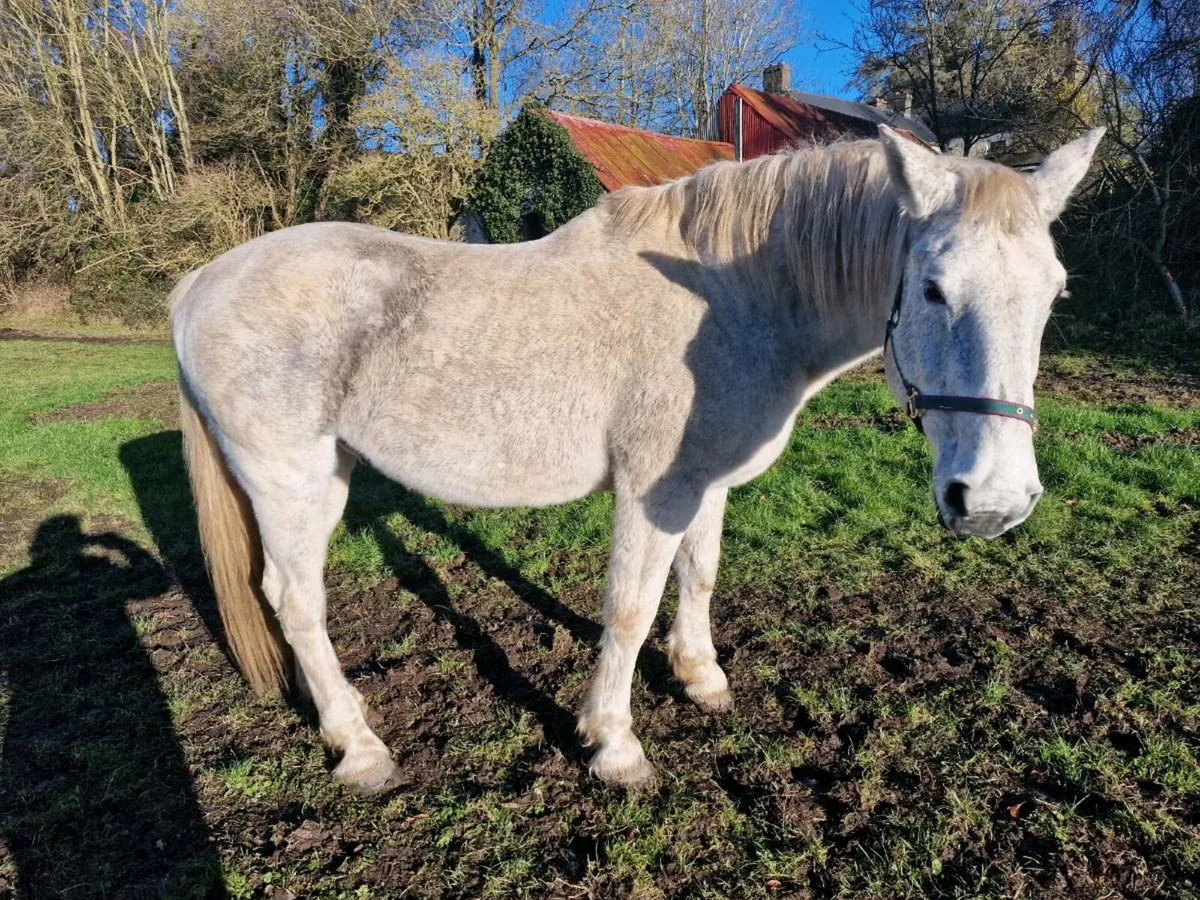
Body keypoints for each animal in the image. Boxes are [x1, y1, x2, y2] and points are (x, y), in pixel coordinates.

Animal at [171, 126, 1103, 791]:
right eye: (935, 288)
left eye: (1056, 293)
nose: (994, 501)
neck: (739, 300)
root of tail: (200, 282)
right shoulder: (652, 489)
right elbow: (628, 608)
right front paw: (614, 746)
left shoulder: (704, 482)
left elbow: (700, 576)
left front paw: (700, 677)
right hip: (293, 482)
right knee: (294, 601)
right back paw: (359, 747)